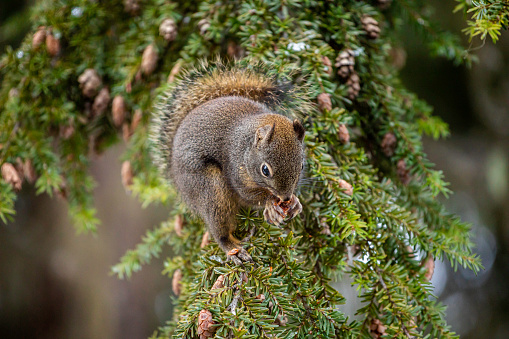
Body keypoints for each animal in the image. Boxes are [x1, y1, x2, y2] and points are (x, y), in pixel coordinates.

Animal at [150, 61, 310, 266]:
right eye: (265, 170)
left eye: (302, 166)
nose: (285, 197)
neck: (246, 147)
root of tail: (174, 174)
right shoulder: (235, 171)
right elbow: (248, 196)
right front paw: (269, 204)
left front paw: (296, 202)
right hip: (211, 190)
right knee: (220, 229)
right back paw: (234, 249)